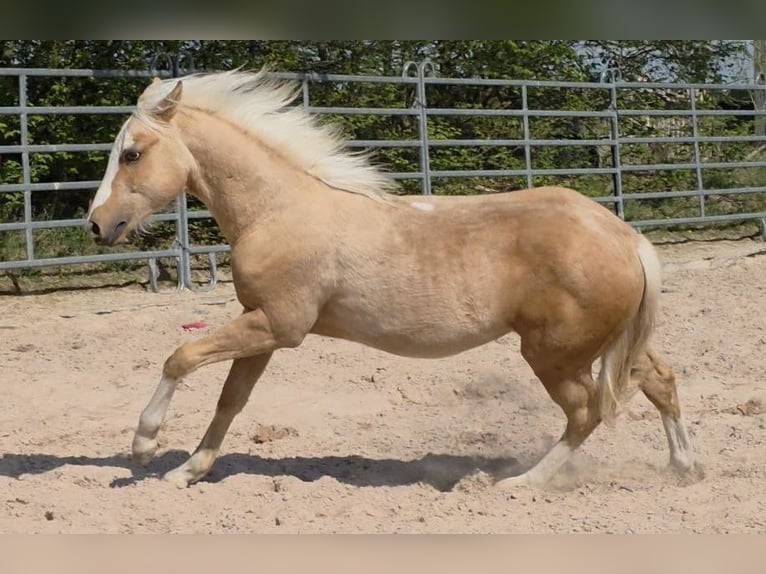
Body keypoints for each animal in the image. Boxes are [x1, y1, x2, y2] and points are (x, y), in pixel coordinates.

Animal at [86, 70, 695, 489]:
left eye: (132, 153)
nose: (96, 224)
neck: (279, 210)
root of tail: (625, 237)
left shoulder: (278, 326)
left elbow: (181, 357)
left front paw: (143, 448)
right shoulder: (260, 326)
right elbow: (230, 401)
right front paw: (187, 472)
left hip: (554, 353)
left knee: (586, 411)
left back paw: (520, 483)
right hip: (608, 343)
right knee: (658, 380)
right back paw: (684, 467)